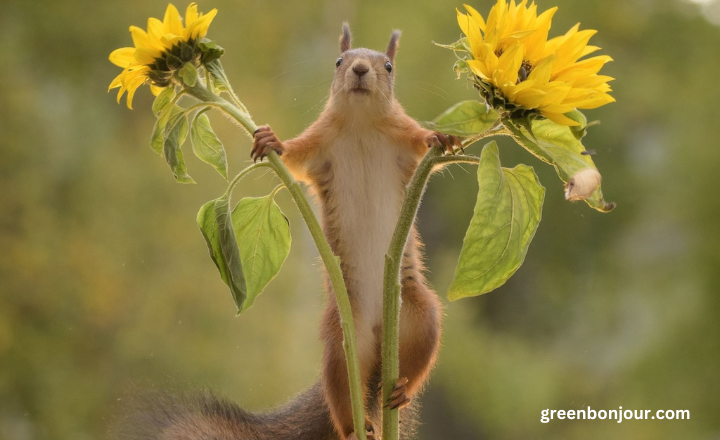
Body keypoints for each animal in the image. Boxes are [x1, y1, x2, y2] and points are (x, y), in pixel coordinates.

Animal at [115, 23, 458, 440]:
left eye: (389, 66)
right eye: (339, 61)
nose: (360, 69)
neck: (361, 122)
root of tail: (380, 335)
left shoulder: (402, 139)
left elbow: (423, 147)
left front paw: (440, 139)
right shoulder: (319, 144)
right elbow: (293, 157)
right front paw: (270, 141)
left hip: (420, 316)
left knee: (415, 363)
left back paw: (402, 390)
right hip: (340, 342)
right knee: (342, 390)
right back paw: (353, 427)